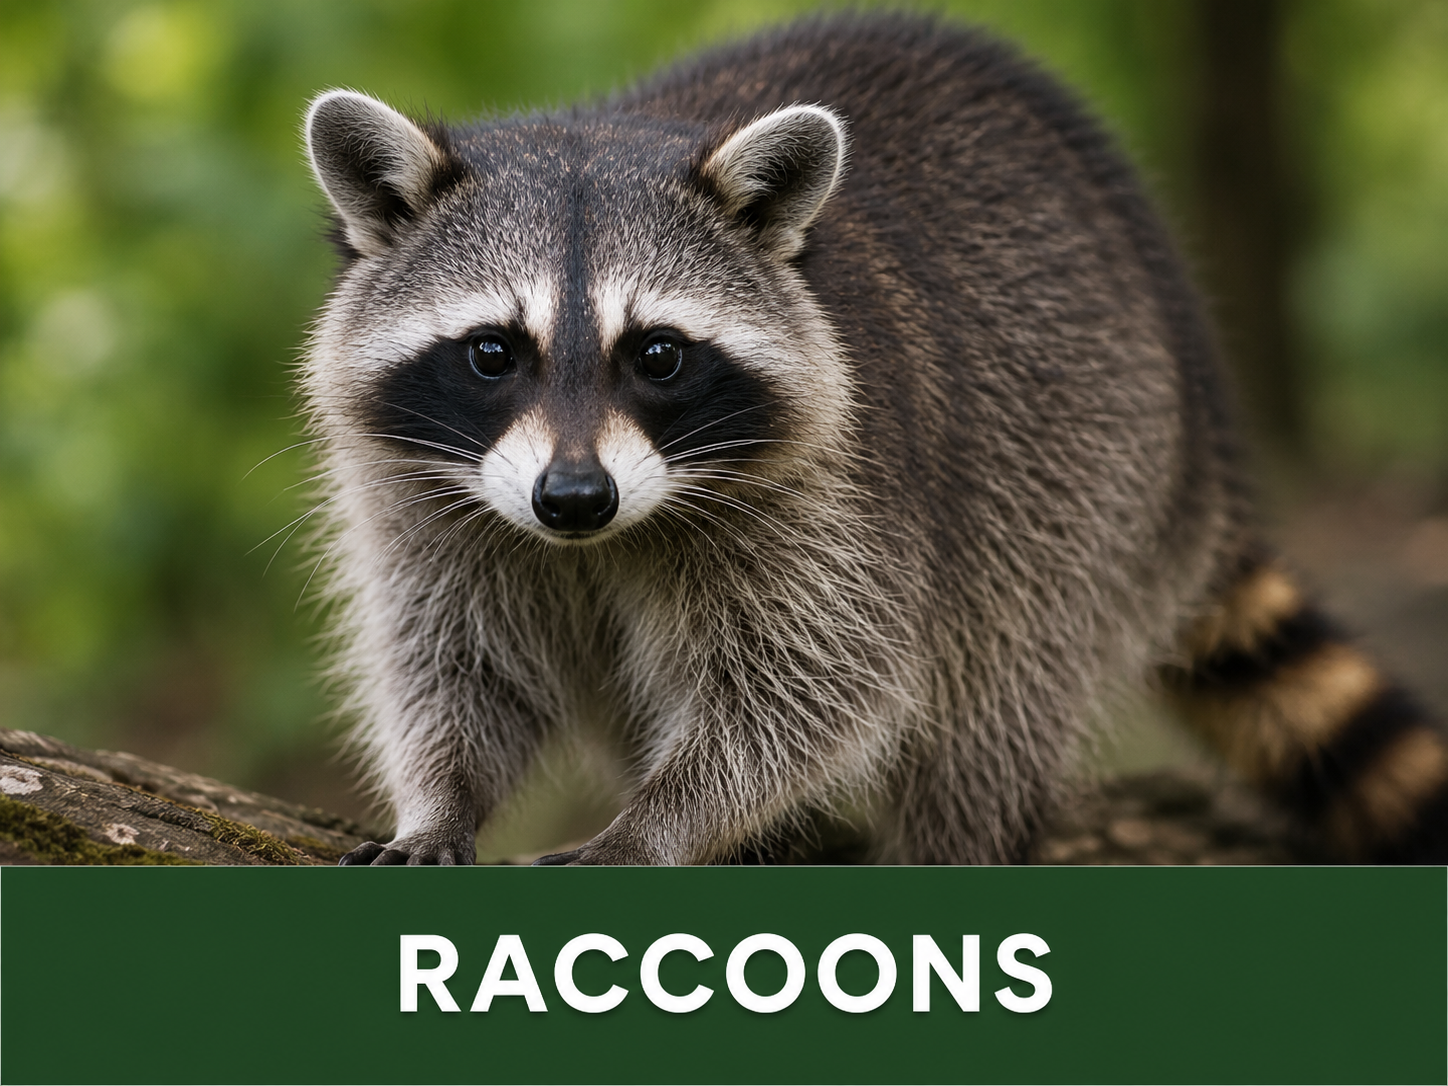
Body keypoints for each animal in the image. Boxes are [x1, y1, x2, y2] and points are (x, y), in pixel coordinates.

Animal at [300, 13, 1448, 866]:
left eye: (658, 355)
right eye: (493, 352)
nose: (573, 500)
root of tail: (1204, 431)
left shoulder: (843, 494)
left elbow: (815, 684)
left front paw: (662, 823)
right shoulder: (425, 495)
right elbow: (450, 660)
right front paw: (441, 798)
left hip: (1084, 472)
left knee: (994, 700)